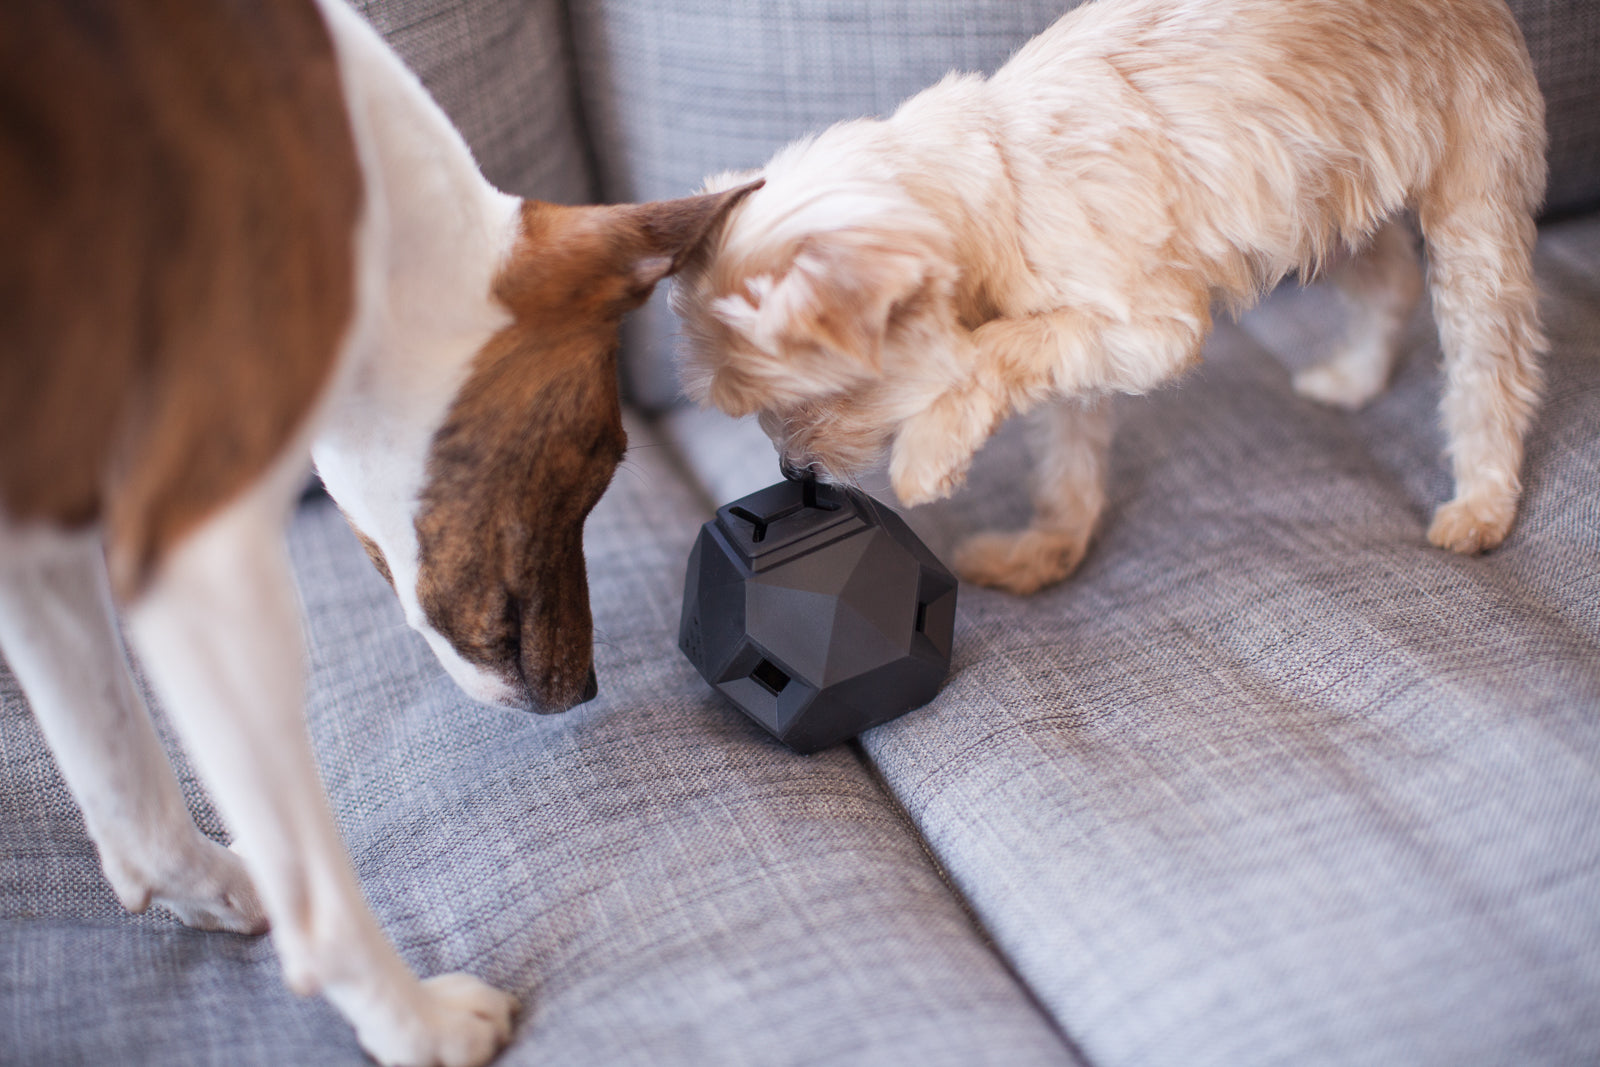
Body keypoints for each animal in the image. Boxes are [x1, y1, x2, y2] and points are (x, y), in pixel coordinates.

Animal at [0, 2, 752, 1067]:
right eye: (607, 455)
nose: (588, 691)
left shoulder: (42, 542)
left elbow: (128, 790)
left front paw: (213, 887)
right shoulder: (198, 554)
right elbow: (319, 902)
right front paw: (414, 1022)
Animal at [675, 0, 1548, 598]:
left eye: (813, 401)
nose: (792, 469)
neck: (1002, 178)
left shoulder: (1150, 330)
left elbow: (987, 353)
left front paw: (930, 450)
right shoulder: (1077, 347)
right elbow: (1067, 458)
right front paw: (1046, 552)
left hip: (1468, 208)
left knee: (1488, 367)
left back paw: (1480, 504)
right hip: (1319, 203)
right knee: (1391, 276)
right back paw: (1356, 377)